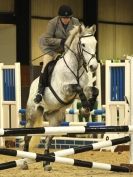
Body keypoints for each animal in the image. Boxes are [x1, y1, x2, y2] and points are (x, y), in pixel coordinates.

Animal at [22, 24, 98, 171]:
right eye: (83, 44)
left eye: (95, 43)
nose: (94, 66)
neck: (76, 67)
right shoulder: (65, 90)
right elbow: (78, 87)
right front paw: (86, 107)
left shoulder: (83, 90)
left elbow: (94, 90)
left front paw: (87, 108)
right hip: (32, 114)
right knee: (27, 136)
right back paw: (24, 162)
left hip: (55, 119)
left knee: (48, 138)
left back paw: (46, 164)